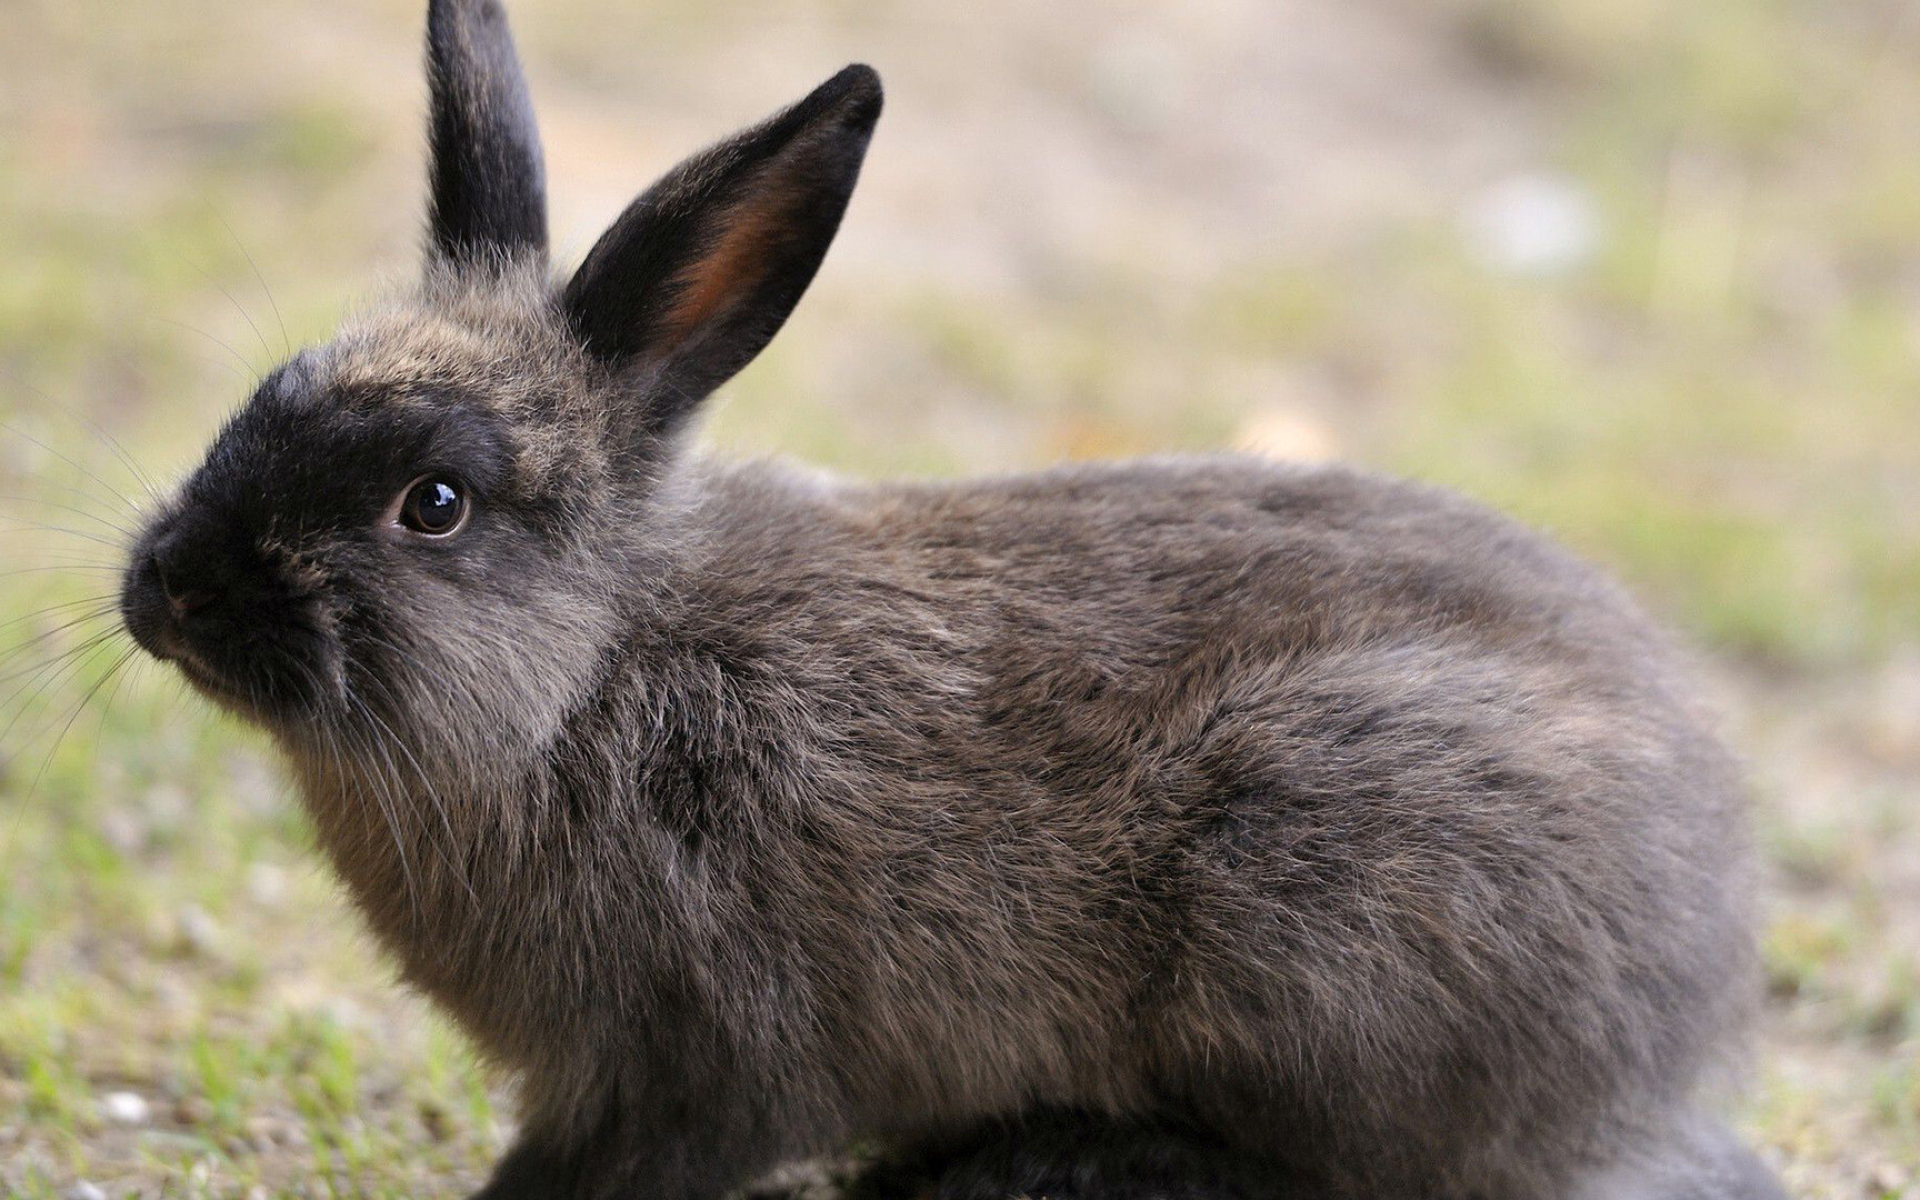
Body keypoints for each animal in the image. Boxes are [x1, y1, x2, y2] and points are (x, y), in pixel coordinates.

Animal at [120, 2, 1781, 1198]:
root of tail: (1689, 999)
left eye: (435, 503)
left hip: (1316, 889)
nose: (162, 596)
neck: (586, 673)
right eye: (263, 395)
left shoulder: (695, 1060)